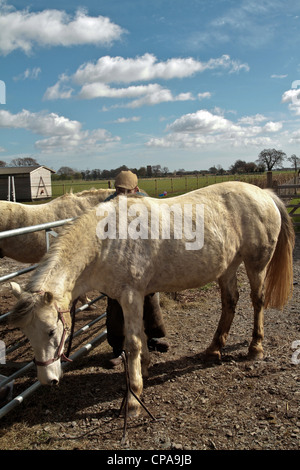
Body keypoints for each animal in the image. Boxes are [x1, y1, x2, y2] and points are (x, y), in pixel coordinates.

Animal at [8, 182, 292, 416]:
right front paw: (145, 368)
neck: (106, 242)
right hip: (229, 267)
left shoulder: (131, 295)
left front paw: (134, 398)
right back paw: (214, 349)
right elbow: (141, 336)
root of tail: (263, 194)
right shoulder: (133, 297)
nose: (47, 380)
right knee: (230, 302)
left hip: (256, 265)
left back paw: (255, 348)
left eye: (51, 331)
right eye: (27, 334)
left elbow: (132, 343)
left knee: (257, 301)